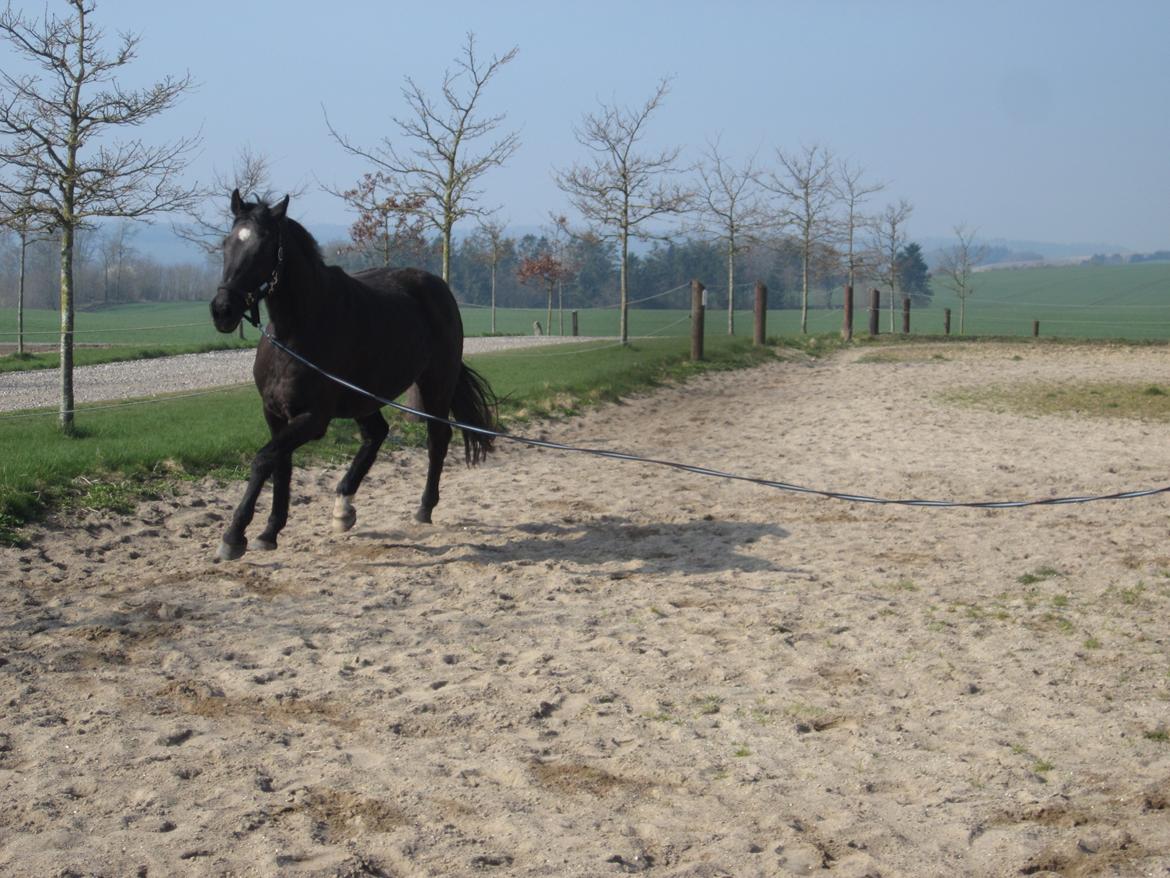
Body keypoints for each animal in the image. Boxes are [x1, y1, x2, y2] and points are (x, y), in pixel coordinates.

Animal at [208, 191, 496, 564]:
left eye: (263, 245)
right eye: (227, 242)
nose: (222, 310)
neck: (295, 332)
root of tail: (438, 287)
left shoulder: (313, 419)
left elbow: (262, 460)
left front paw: (234, 536)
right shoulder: (275, 414)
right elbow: (280, 465)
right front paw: (269, 533)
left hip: (435, 384)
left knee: (438, 439)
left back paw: (423, 508)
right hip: (364, 397)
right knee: (376, 434)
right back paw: (343, 508)